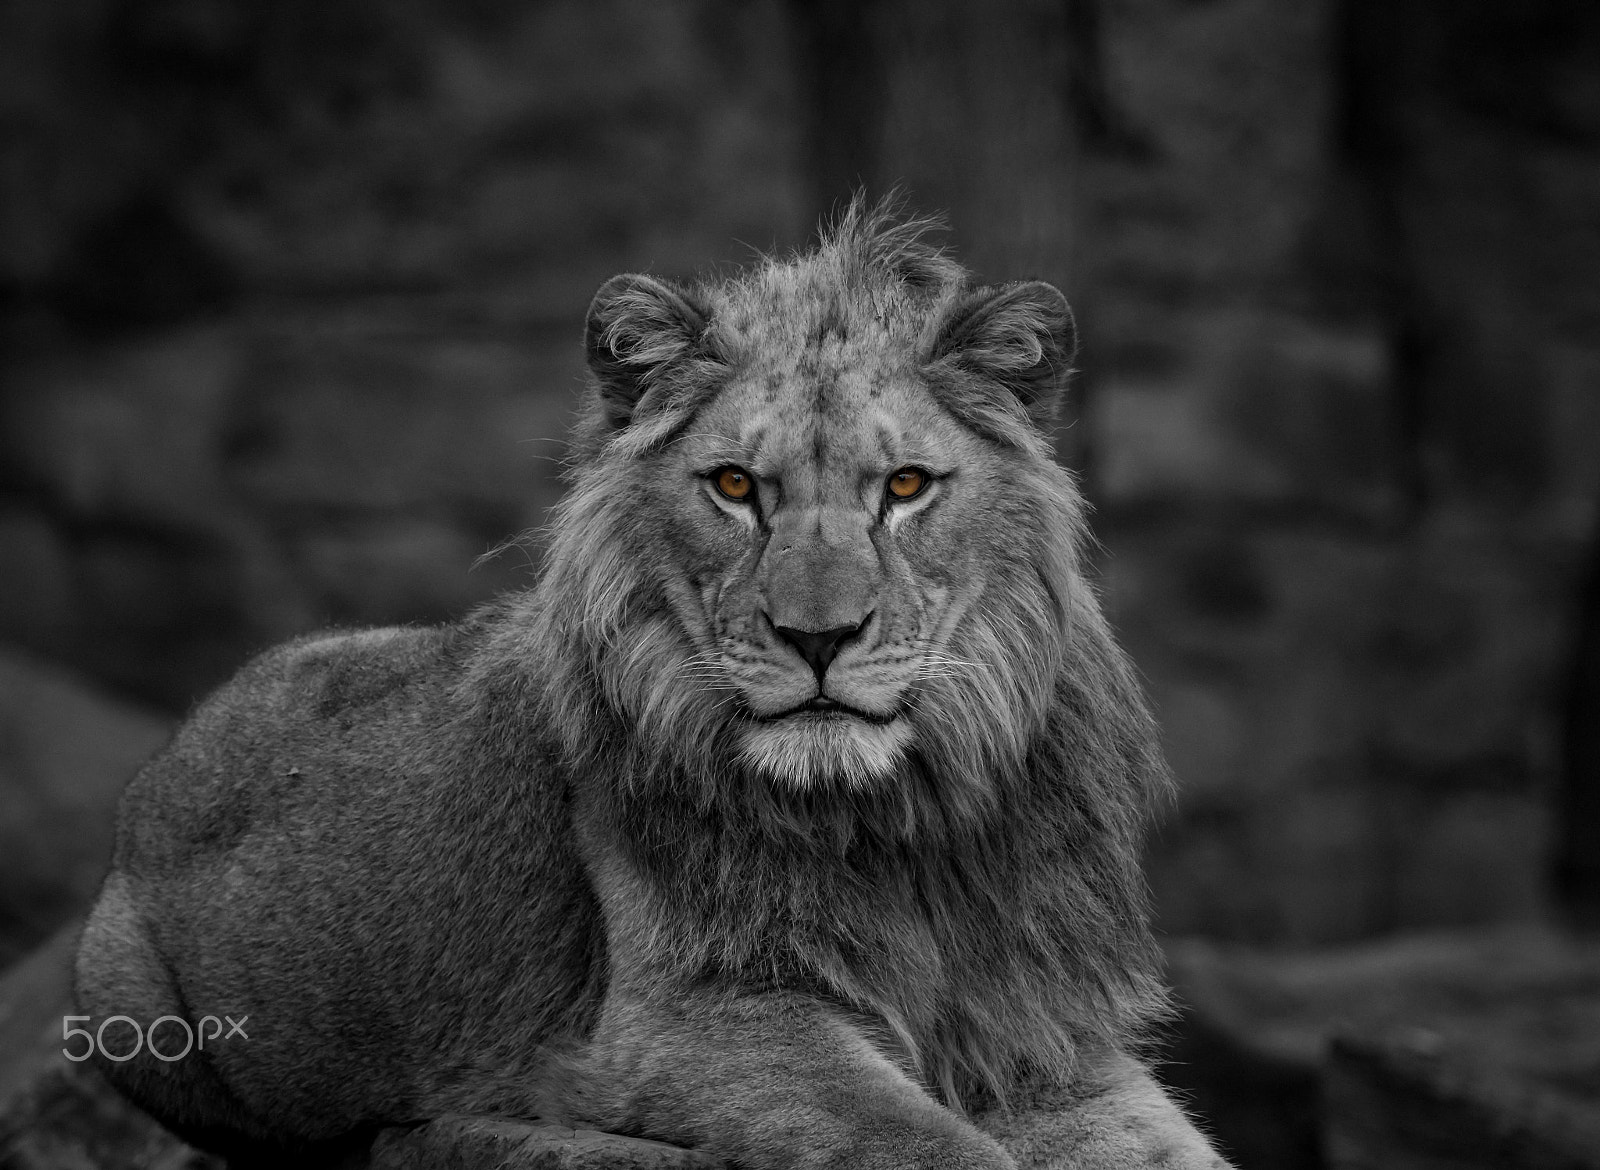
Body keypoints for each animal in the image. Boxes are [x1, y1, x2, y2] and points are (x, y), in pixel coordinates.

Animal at [73, 197, 1230, 1169]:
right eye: (734, 487)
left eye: (905, 486)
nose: (818, 637)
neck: (902, 818)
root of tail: (164, 763)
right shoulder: (689, 1018)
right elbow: (929, 1146)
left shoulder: (1044, 1034)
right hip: (128, 1003)